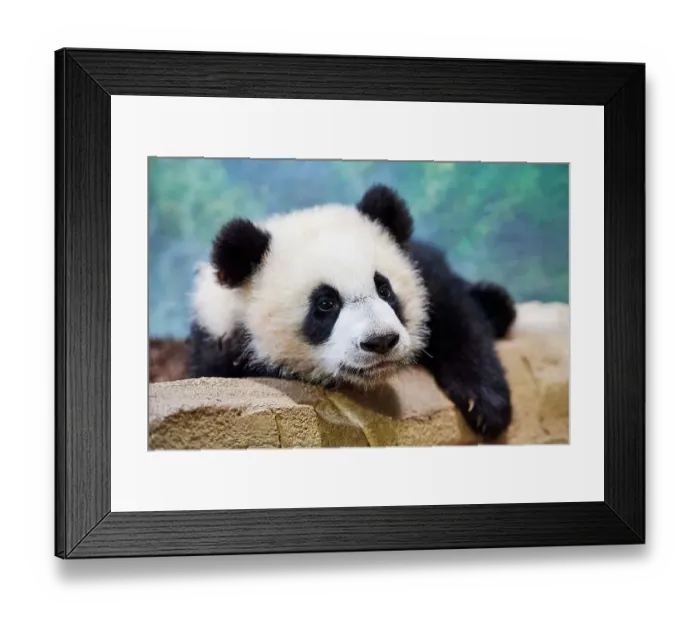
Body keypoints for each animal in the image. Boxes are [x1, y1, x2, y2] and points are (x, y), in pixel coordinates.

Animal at [187, 184, 517, 439]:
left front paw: (487, 405)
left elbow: (458, 316)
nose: (381, 341)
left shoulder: (424, 269)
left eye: (384, 288)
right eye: (325, 303)